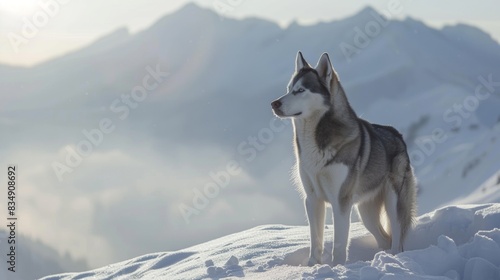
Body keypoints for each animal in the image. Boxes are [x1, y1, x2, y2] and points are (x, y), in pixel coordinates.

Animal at [272, 52, 416, 264]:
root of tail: (397, 134)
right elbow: (315, 241)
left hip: (393, 203)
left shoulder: (340, 201)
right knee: (384, 238)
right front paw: (313, 265)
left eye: (300, 90)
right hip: (366, 213)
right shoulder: (312, 199)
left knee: (397, 239)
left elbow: (339, 244)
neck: (314, 144)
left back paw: (395, 258)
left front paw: (337, 266)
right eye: (289, 89)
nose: (274, 103)